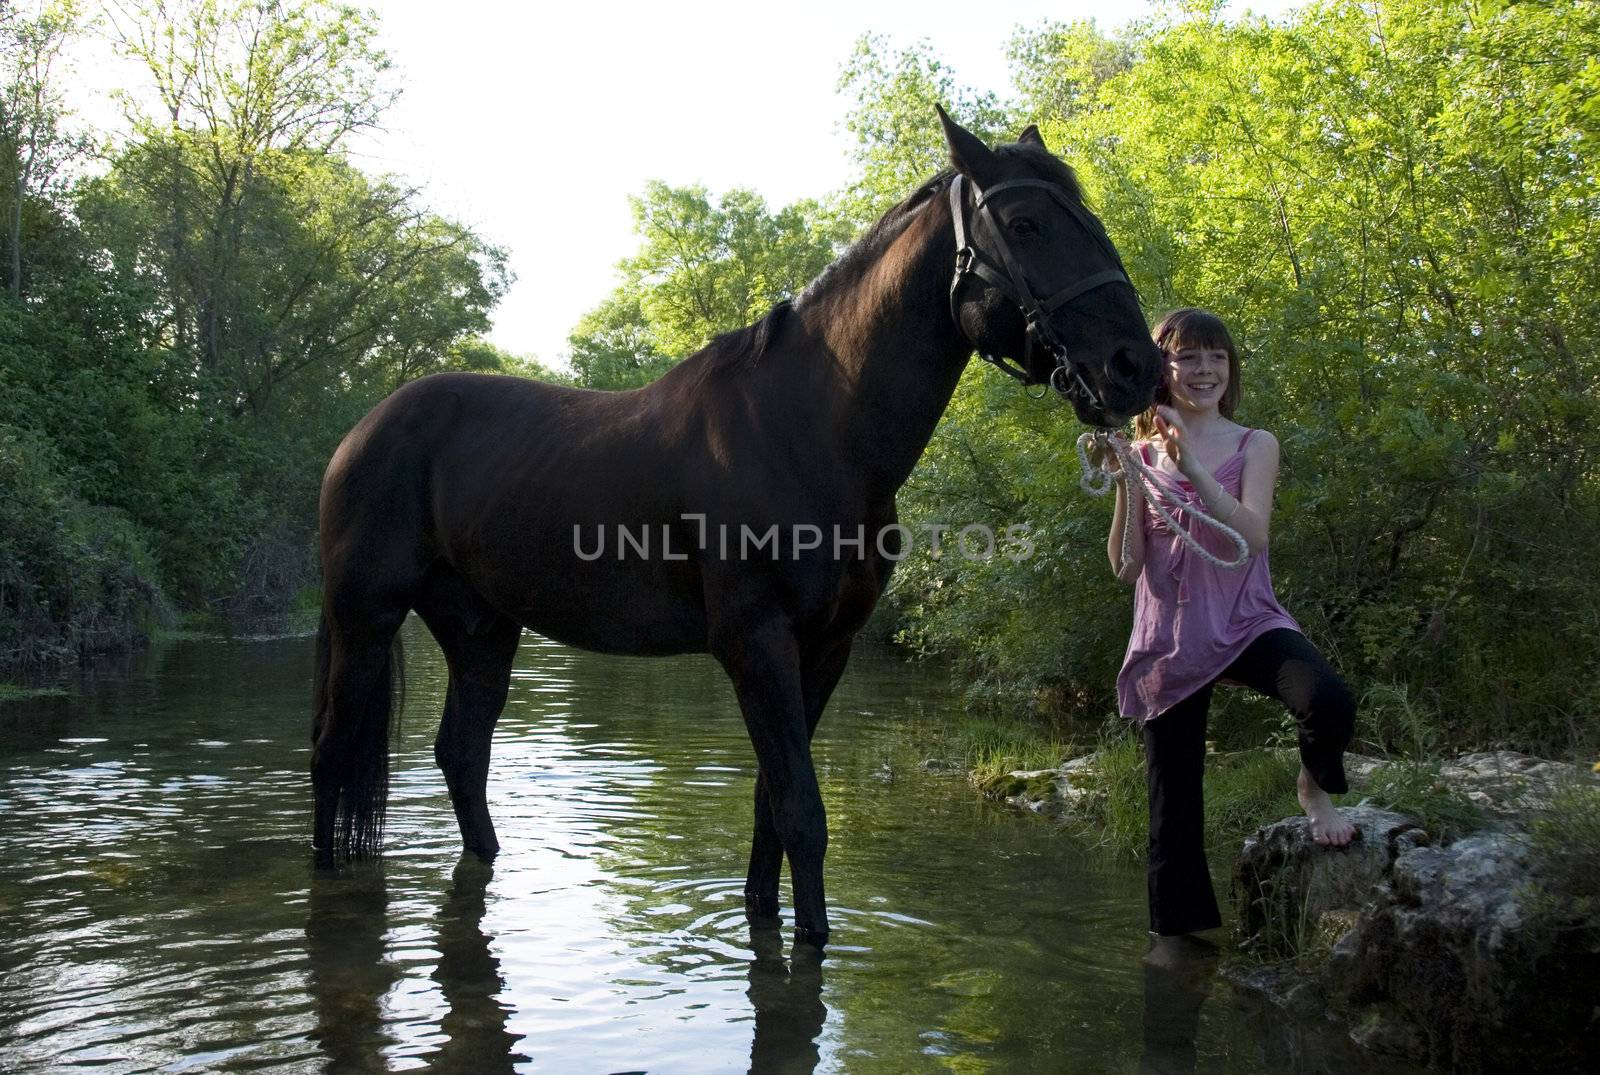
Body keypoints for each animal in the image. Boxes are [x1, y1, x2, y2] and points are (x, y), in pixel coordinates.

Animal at [312, 108, 1164, 947]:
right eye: (1025, 225)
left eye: (1090, 219)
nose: (1138, 367)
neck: (809, 431)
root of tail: (363, 431)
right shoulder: (756, 641)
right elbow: (803, 814)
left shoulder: (825, 646)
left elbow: (772, 807)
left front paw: (764, 917)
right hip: (366, 616)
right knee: (330, 754)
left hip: (481, 628)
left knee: (460, 754)